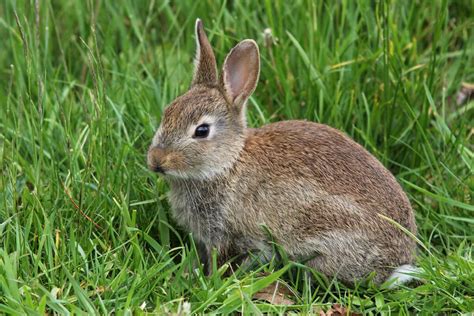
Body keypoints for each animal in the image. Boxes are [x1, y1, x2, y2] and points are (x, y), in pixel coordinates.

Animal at [148, 19, 418, 286]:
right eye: (167, 112)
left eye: (202, 131)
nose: (155, 161)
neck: (228, 163)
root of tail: (392, 266)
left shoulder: (229, 234)